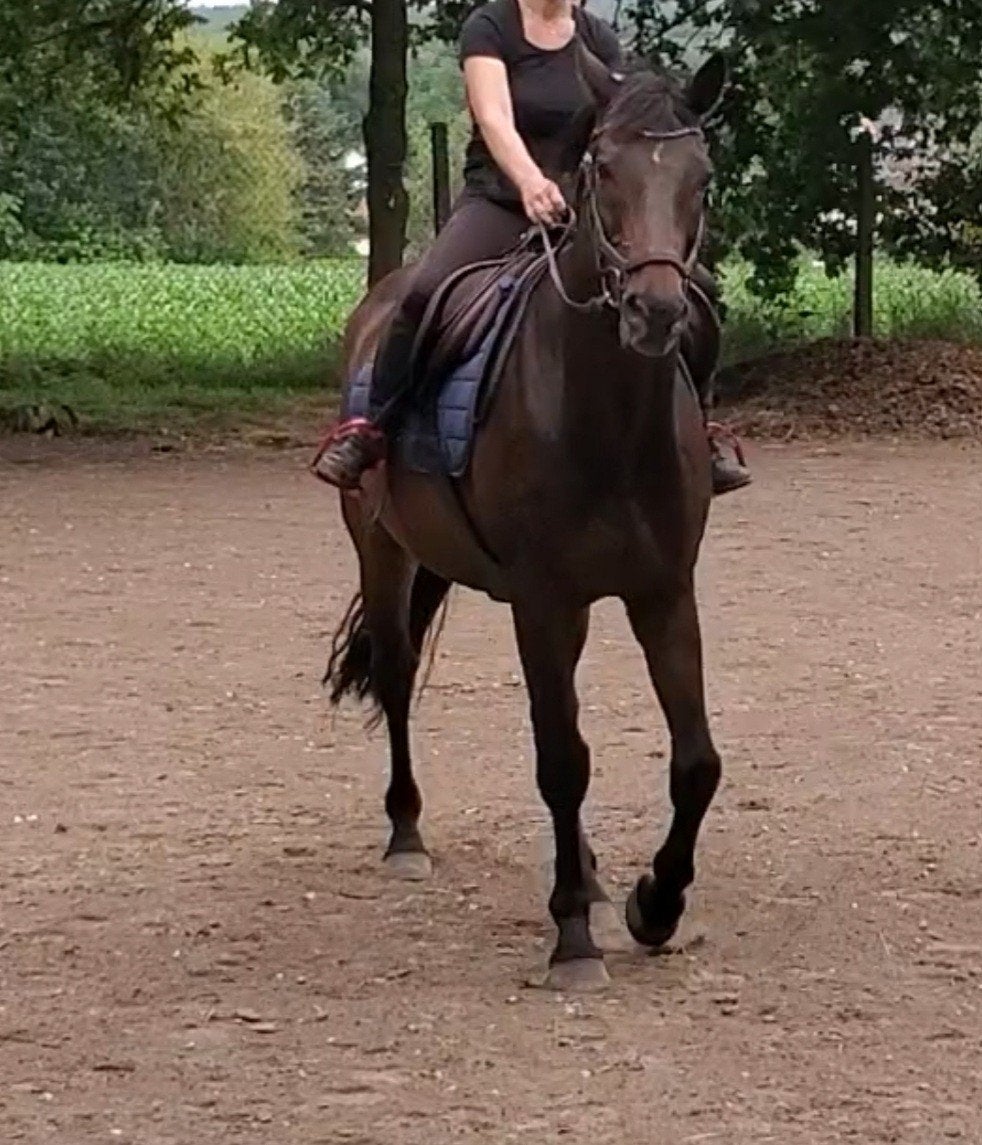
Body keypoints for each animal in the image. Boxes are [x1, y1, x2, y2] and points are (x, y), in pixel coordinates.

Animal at [324, 52, 728, 991]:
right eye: (602, 169)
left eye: (702, 178)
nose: (659, 311)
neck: (608, 418)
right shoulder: (546, 600)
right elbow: (562, 760)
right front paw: (573, 935)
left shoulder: (663, 593)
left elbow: (694, 760)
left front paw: (654, 903)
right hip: (383, 549)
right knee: (399, 675)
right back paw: (407, 834)